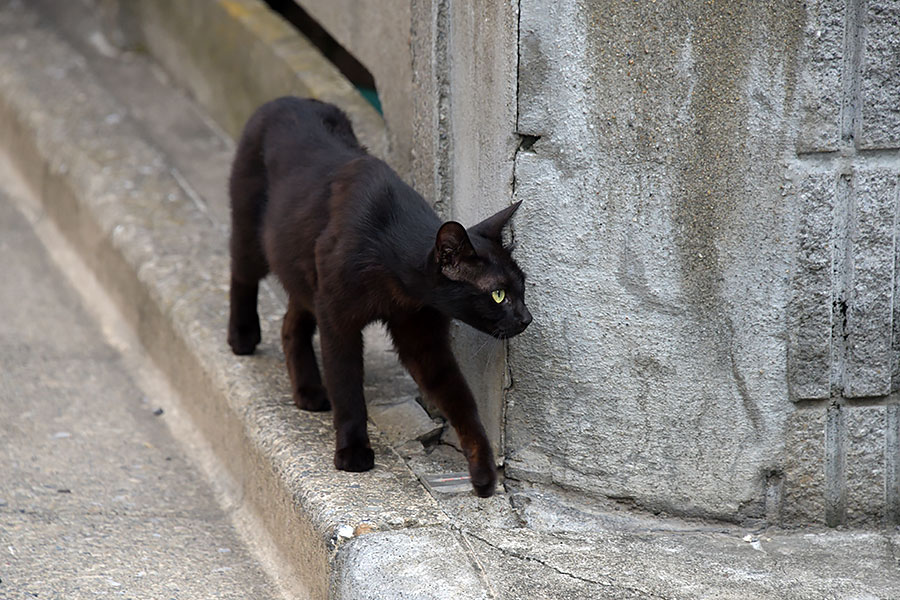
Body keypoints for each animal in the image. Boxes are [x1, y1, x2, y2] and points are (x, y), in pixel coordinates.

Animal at [229, 97, 532, 496]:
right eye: (498, 295)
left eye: (522, 287)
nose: (527, 318)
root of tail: (288, 99)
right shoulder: (338, 322)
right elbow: (347, 388)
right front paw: (353, 453)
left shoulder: (422, 337)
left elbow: (461, 401)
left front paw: (482, 471)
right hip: (252, 235)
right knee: (241, 275)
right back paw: (242, 336)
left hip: (306, 276)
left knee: (291, 324)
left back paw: (309, 391)